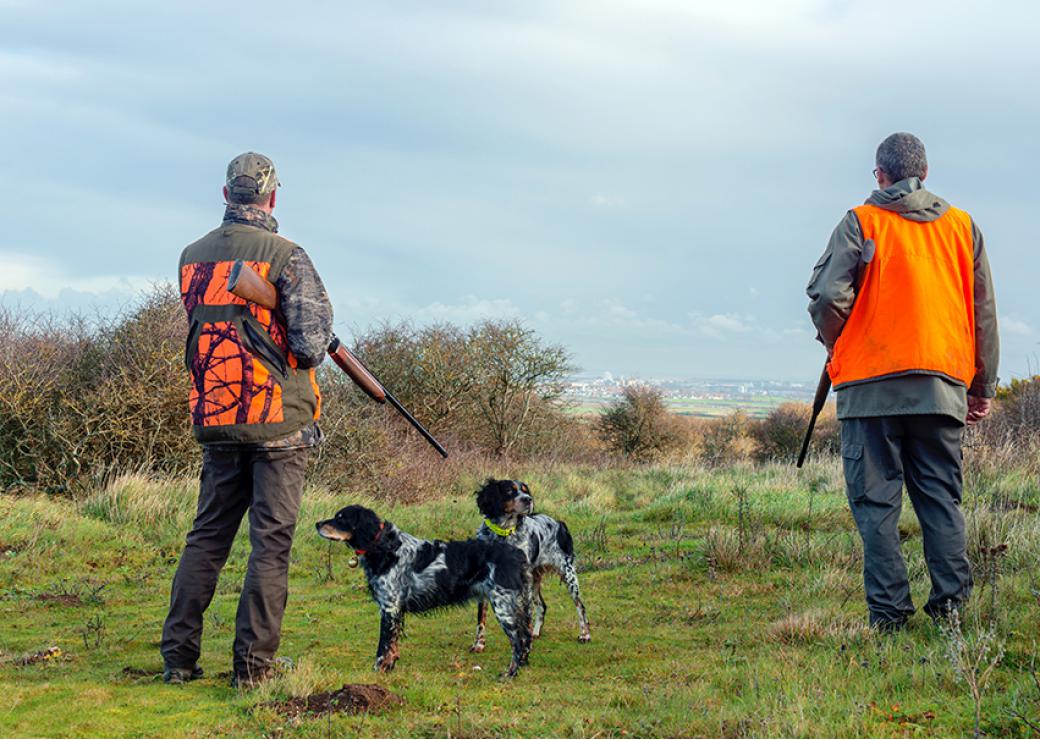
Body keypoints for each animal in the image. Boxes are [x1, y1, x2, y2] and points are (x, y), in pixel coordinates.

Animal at [316, 503, 532, 677]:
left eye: (341, 517)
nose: (317, 524)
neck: (384, 546)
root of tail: (517, 554)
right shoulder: (395, 611)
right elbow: (392, 647)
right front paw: (389, 668)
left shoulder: (390, 607)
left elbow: (383, 647)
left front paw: (378, 670)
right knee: (527, 636)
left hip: (504, 606)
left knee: (519, 641)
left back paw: (510, 673)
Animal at [474, 476, 594, 648]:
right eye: (509, 491)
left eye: (526, 491)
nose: (528, 500)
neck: (503, 533)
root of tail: (559, 523)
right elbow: (481, 617)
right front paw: (479, 644)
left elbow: (525, 614)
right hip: (535, 579)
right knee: (542, 606)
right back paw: (536, 632)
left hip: (568, 575)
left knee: (580, 606)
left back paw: (585, 634)